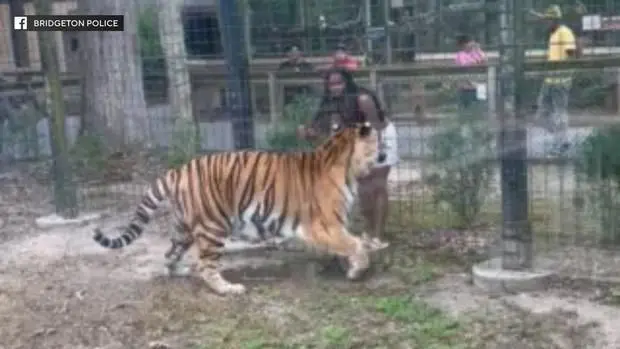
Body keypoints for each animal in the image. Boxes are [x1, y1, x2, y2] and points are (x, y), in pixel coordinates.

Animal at [92, 121, 388, 292]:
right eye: (379, 141)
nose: (385, 154)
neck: (346, 164)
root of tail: (179, 170)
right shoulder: (323, 225)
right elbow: (355, 244)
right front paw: (357, 270)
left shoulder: (332, 227)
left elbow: (349, 244)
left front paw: (348, 266)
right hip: (213, 227)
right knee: (206, 265)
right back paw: (229, 289)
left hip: (183, 229)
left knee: (170, 255)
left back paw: (180, 271)